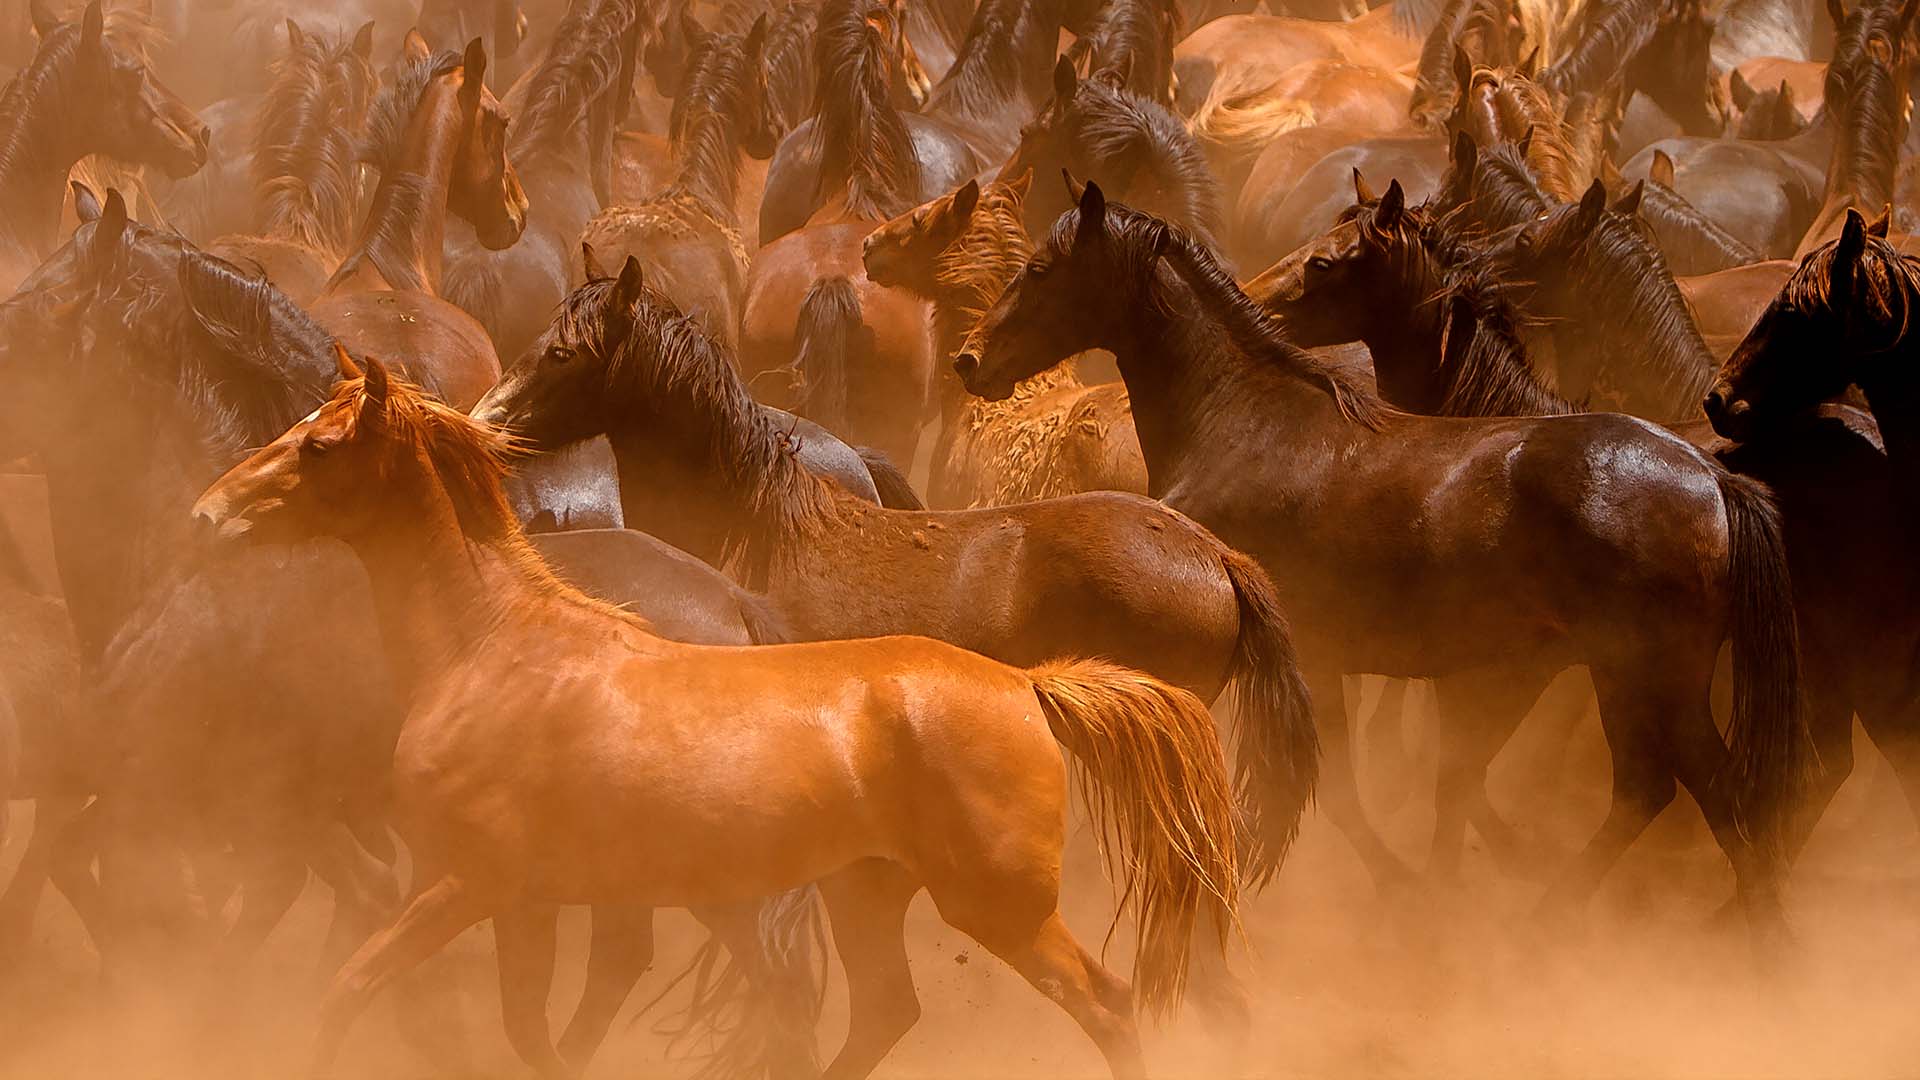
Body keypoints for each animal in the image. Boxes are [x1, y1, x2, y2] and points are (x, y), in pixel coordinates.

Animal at [191, 353, 1244, 1080]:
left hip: (998, 907)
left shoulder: (466, 882)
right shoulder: (524, 900)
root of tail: (1029, 687)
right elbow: (528, 1031)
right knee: (878, 1013)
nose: (206, 515)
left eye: (320, 444)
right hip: (863, 896)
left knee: (1106, 1005)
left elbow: (351, 990)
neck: (494, 643)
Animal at [961, 186, 1811, 939]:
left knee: (1717, 801)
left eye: (1042, 268)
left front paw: (1403, 890)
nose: (971, 360)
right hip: (1621, 674)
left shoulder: (1308, 661)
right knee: (1653, 790)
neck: (1243, 421)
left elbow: (1340, 791)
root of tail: (1711, 477)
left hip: (1655, 678)